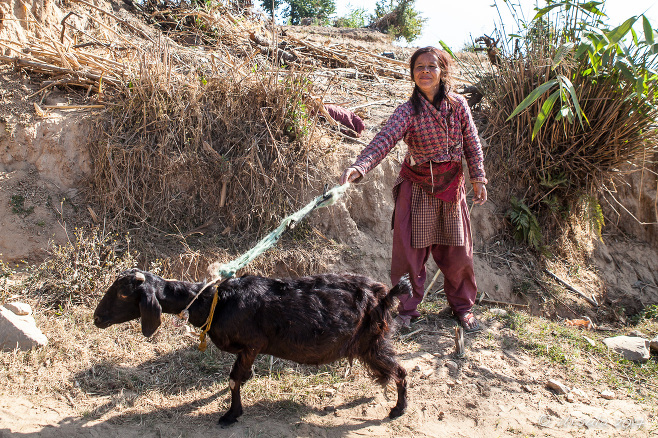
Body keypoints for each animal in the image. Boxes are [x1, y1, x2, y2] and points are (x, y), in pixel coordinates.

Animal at [94, 268, 408, 426]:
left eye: (123, 293)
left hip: (372, 342)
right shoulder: (248, 350)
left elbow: (234, 380)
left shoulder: (252, 344)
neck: (215, 301)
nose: (97, 318)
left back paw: (398, 409)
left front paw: (230, 415)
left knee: (401, 371)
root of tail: (385, 295)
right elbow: (241, 377)